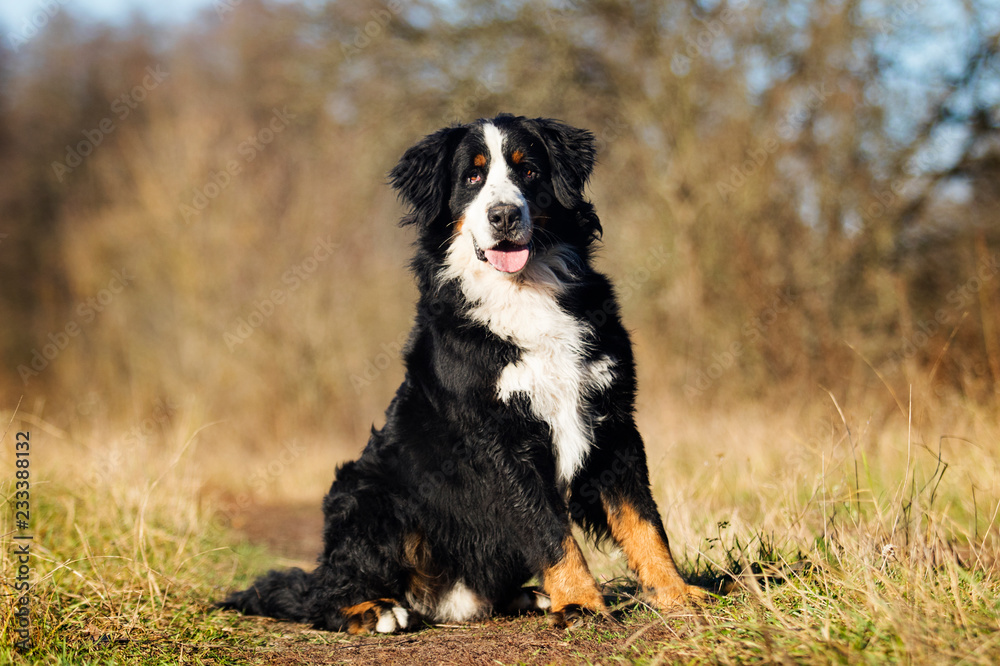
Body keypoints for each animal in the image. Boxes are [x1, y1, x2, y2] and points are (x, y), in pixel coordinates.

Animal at [221, 111, 704, 632]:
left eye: (528, 170)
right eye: (472, 178)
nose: (504, 215)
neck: (524, 292)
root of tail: (447, 601)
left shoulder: (611, 419)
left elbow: (644, 522)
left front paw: (679, 594)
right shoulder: (501, 440)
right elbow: (549, 528)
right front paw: (581, 604)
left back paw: (529, 597)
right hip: (365, 493)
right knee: (323, 593)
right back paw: (375, 610)